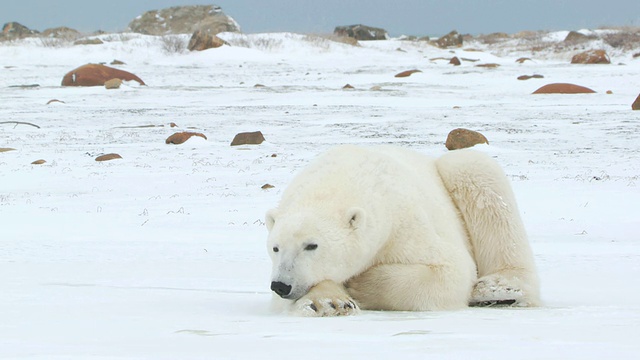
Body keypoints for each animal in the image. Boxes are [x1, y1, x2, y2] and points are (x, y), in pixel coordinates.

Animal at [264, 145, 540, 316]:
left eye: (312, 245)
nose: (281, 285)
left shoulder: (405, 223)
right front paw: (329, 303)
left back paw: (498, 290)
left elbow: (451, 270)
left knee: (478, 176)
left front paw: (359, 285)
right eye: (275, 247)